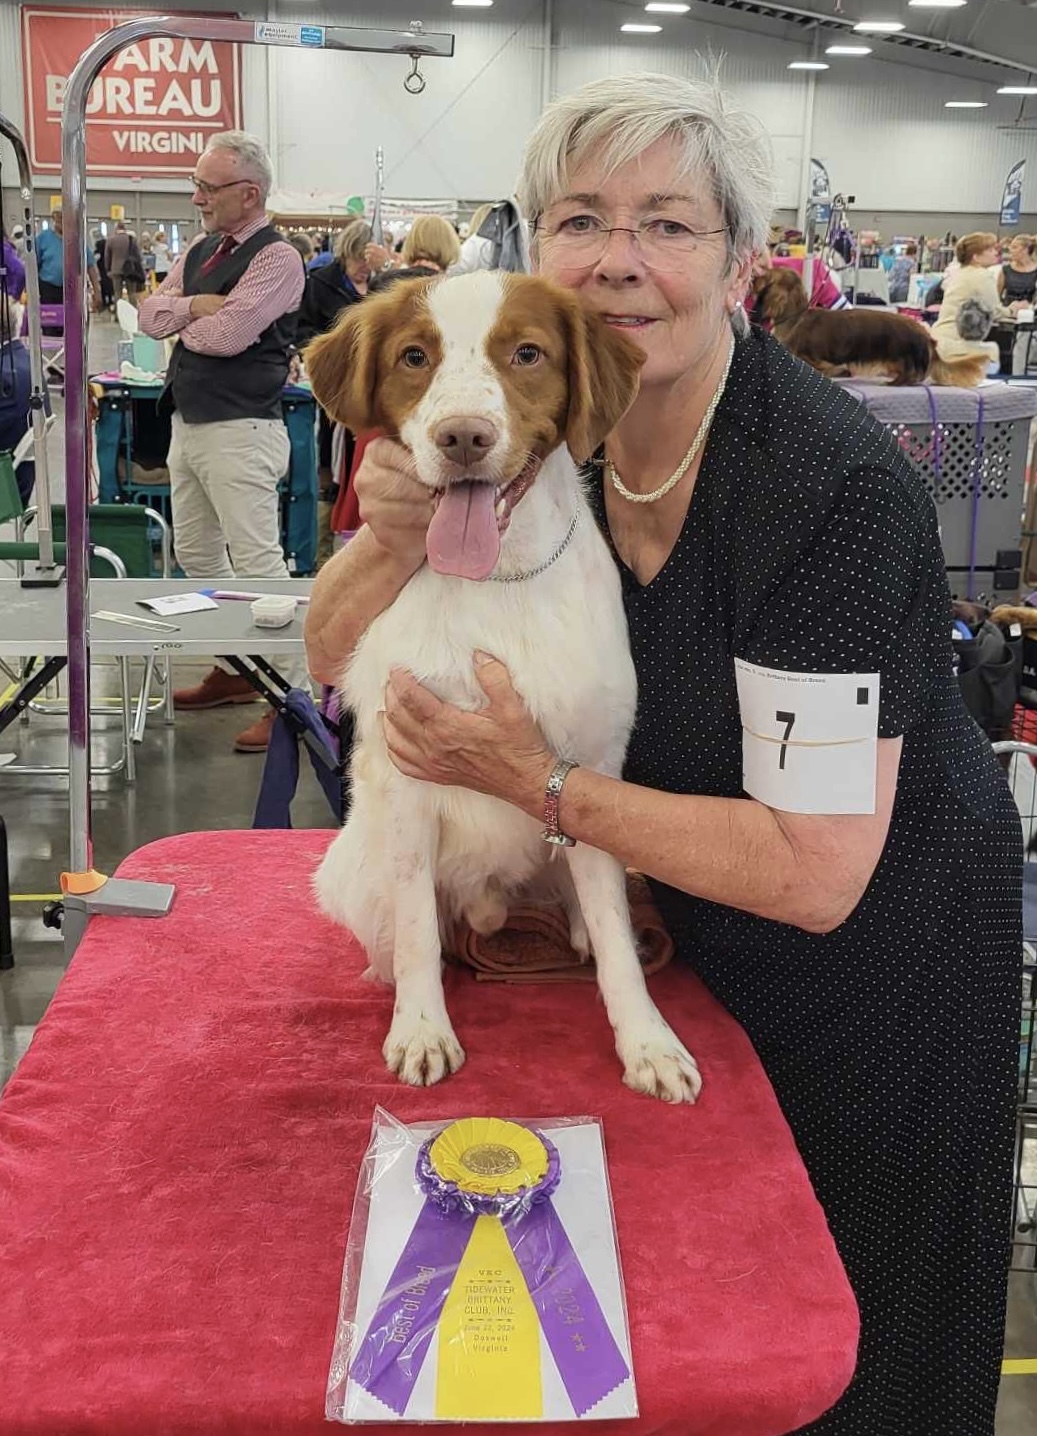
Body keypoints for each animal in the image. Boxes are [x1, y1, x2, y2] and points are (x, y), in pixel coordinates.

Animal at [305, 270, 702, 1103]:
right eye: (414, 356)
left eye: (526, 353)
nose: (463, 438)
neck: (498, 579)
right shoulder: (407, 776)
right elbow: (418, 932)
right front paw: (422, 1028)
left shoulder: (589, 765)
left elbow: (616, 938)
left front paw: (646, 1042)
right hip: (353, 869)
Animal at [753, 267, 988, 387]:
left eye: (767, 274)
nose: (754, 276)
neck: (795, 317)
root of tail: (927, 336)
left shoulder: (811, 358)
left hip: (903, 356)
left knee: (913, 376)